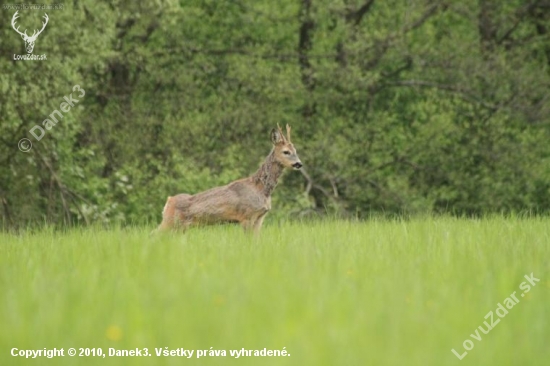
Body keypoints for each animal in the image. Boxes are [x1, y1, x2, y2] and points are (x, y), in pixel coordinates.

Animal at [154, 124, 302, 234]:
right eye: (286, 152)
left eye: (295, 151)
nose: (299, 164)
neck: (261, 189)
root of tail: (168, 201)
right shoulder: (247, 216)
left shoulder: (260, 217)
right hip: (169, 222)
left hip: (179, 227)